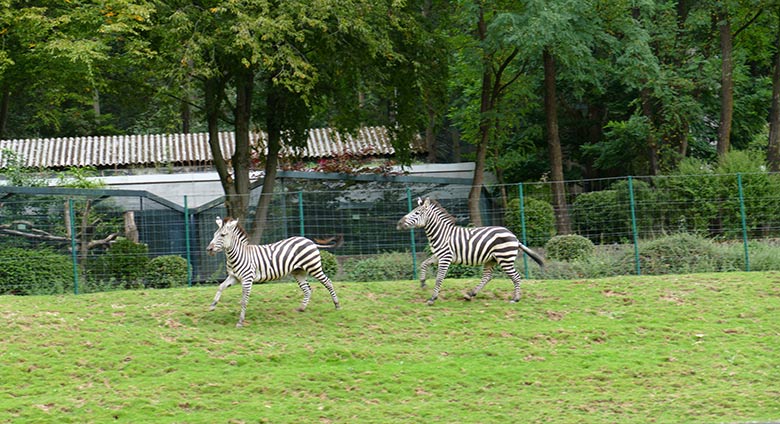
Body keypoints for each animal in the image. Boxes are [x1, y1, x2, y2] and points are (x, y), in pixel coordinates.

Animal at [206, 217, 340, 326]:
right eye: (214, 234)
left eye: (223, 235)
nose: (208, 249)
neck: (238, 255)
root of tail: (310, 241)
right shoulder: (234, 277)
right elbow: (220, 287)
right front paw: (212, 306)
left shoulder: (247, 279)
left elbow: (244, 300)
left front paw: (240, 321)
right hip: (298, 271)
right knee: (307, 289)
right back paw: (301, 308)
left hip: (313, 267)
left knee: (328, 282)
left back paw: (337, 305)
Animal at [396, 197, 544, 306]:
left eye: (416, 213)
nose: (398, 224)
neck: (442, 234)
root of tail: (515, 237)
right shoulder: (438, 256)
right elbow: (423, 264)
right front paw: (422, 283)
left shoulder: (445, 257)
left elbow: (439, 278)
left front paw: (432, 298)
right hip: (491, 260)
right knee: (487, 277)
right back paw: (470, 294)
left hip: (505, 259)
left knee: (516, 277)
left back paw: (516, 299)